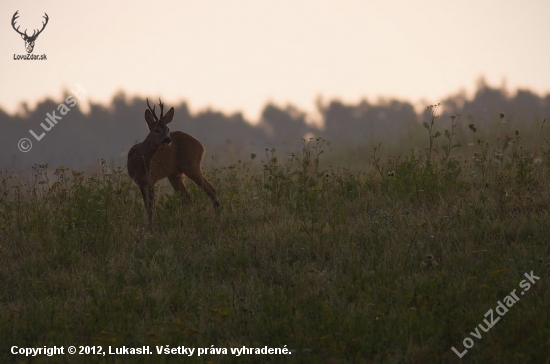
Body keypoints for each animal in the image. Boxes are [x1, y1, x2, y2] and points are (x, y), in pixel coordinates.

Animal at [127, 98, 220, 226]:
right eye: (156, 130)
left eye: (168, 129)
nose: (167, 139)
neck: (140, 161)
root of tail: (201, 146)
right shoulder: (141, 182)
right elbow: (148, 207)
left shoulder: (151, 179)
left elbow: (151, 208)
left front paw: (151, 227)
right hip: (175, 174)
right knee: (187, 198)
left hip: (191, 166)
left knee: (211, 190)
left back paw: (217, 220)